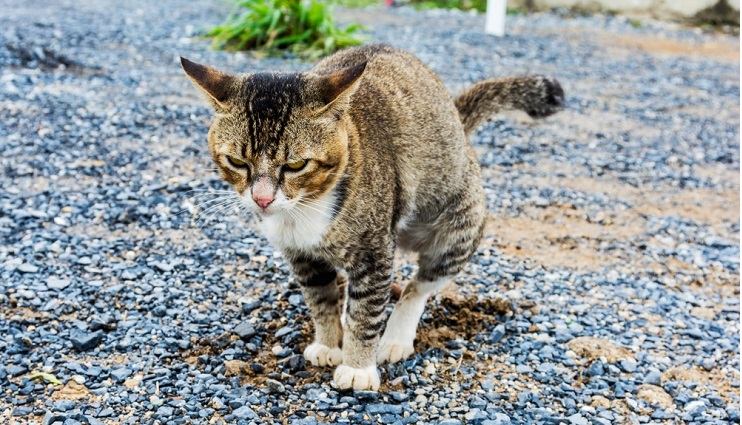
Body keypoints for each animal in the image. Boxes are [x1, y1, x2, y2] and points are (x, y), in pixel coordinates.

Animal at [182, 41, 564, 390]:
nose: (262, 199)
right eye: (237, 162)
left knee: (419, 286)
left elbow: (367, 313)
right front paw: (328, 343)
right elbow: (321, 300)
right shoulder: (301, 256)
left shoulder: (374, 251)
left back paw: (395, 336)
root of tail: (457, 121)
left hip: (458, 228)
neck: (305, 209)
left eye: (296, 165)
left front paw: (357, 367)